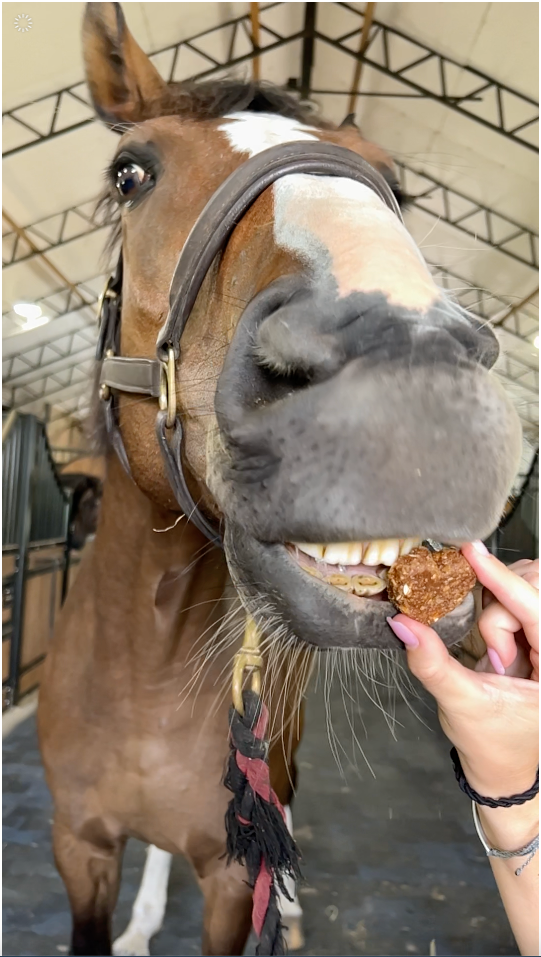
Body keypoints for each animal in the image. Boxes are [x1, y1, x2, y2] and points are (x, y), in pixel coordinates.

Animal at [37, 3, 522, 956]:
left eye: (394, 184)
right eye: (130, 172)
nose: (406, 377)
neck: (141, 670)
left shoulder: (232, 877)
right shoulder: (79, 848)